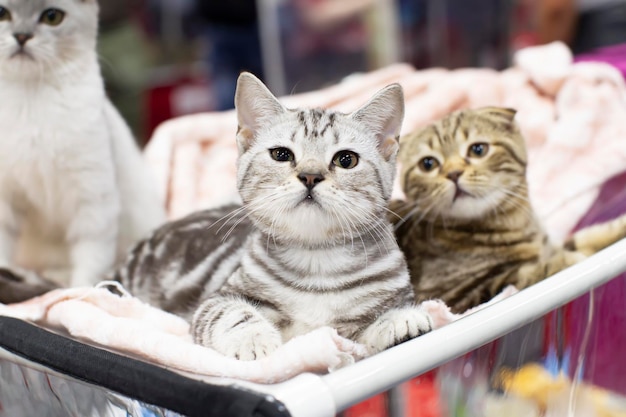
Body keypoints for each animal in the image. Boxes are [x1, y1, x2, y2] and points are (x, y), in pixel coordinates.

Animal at [0, 0, 166, 286]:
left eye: (52, 17)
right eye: (2, 14)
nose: (21, 36)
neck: (30, 97)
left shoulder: (92, 199)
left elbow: (88, 269)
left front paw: (80, 290)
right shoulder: (5, 199)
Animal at [112, 72, 432, 358]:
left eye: (346, 159)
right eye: (281, 154)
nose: (310, 176)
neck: (317, 263)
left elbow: (369, 325)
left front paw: (399, 319)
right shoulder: (216, 299)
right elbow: (231, 314)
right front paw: (252, 338)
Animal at [388, 106, 624, 312]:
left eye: (478, 149)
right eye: (428, 164)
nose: (454, 173)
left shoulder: (550, 244)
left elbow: (584, 238)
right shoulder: (453, 295)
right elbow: (521, 274)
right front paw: (568, 260)